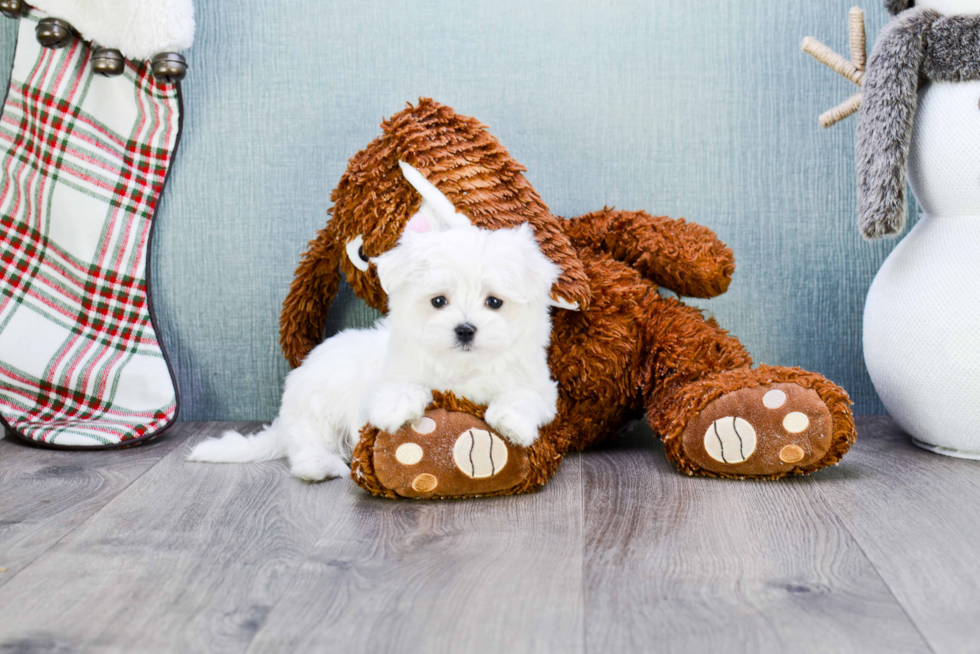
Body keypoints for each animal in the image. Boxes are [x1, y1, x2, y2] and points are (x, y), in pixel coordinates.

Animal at [189, 223, 564, 484]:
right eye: (438, 301)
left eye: (494, 302)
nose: (465, 329)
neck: (462, 366)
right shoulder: (389, 376)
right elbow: (400, 388)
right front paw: (395, 410)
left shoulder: (540, 387)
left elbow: (521, 396)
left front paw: (512, 423)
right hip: (315, 406)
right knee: (307, 442)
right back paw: (320, 466)